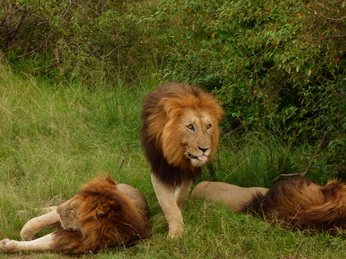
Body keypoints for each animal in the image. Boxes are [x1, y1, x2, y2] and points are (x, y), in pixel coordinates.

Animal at [0, 177, 151, 254]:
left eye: (73, 210)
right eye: (73, 203)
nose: (60, 210)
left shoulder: (75, 239)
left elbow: (40, 244)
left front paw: (7, 245)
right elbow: (33, 223)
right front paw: (26, 233)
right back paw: (21, 211)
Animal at [141, 82, 224, 239]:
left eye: (209, 126)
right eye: (190, 126)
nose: (204, 149)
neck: (177, 154)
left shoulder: (189, 172)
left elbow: (180, 197)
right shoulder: (159, 171)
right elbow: (169, 205)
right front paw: (176, 233)